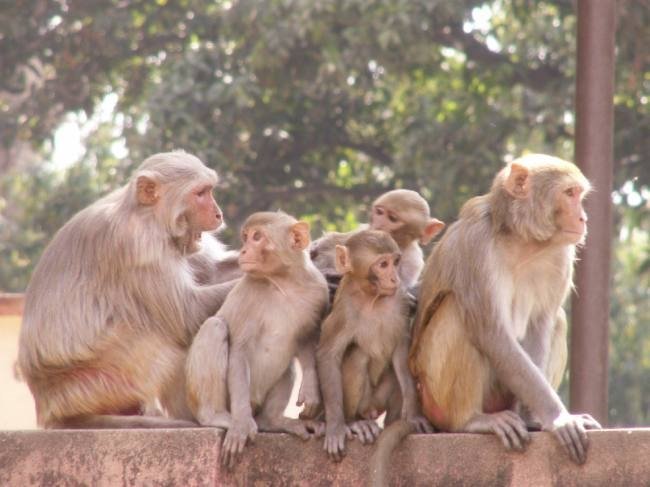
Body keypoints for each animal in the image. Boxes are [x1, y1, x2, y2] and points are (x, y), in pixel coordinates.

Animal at [17, 151, 239, 429]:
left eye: (210, 190)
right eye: (200, 193)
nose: (219, 214)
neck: (147, 215)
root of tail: (48, 408)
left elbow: (211, 273)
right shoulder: (139, 245)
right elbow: (185, 314)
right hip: (95, 382)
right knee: (157, 342)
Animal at [185, 211, 329, 468]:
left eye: (257, 237)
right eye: (246, 237)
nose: (243, 251)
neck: (284, 283)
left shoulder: (318, 291)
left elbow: (305, 340)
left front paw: (311, 388)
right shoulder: (248, 293)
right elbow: (239, 351)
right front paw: (241, 425)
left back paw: (272, 421)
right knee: (215, 327)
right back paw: (217, 416)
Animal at [316, 229, 432, 462]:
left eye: (395, 262)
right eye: (383, 264)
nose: (395, 278)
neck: (373, 298)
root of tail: (370, 410)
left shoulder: (400, 302)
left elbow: (401, 350)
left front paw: (413, 415)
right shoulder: (344, 311)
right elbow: (328, 355)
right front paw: (335, 427)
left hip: (379, 400)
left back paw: (392, 424)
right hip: (363, 403)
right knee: (357, 356)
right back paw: (354, 422)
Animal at [409, 154, 602, 465]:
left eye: (578, 195)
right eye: (569, 193)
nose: (583, 218)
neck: (524, 240)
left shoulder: (561, 255)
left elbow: (542, 325)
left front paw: (540, 416)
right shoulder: (476, 244)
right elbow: (492, 334)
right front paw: (558, 417)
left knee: (558, 320)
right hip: (432, 397)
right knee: (458, 314)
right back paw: (470, 420)